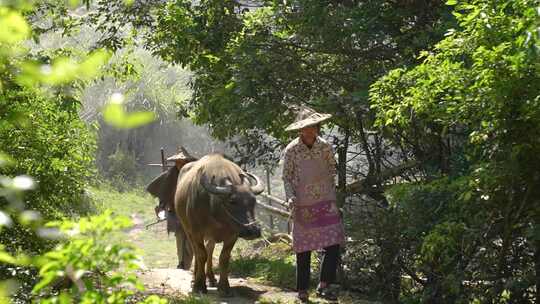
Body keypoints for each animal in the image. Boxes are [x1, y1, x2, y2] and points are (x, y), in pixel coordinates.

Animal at [174, 153, 264, 296]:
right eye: (232, 201)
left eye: (253, 200)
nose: (253, 230)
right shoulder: (196, 231)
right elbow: (201, 255)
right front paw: (199, 286)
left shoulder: (233, 234)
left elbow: (224, 258)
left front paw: (224, 286)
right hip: (186, 228)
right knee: (197, 251)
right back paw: (195, 279)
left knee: (209, 249)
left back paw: (211, 278)